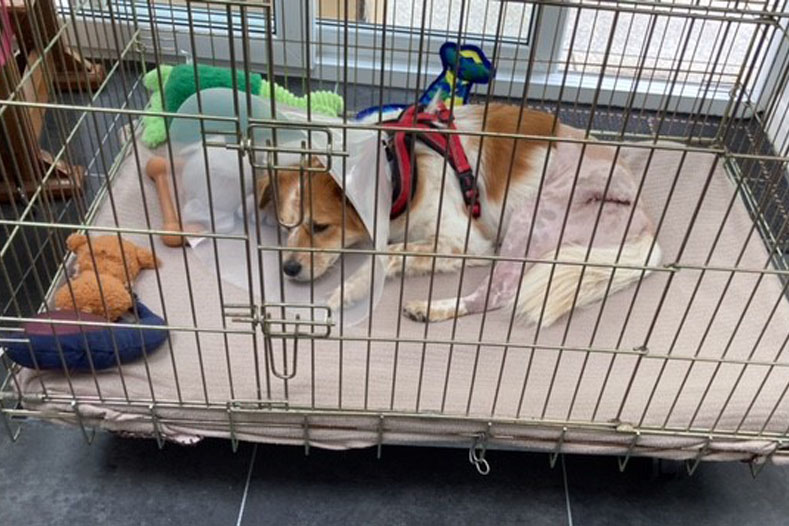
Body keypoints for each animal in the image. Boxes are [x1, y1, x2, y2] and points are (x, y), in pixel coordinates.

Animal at [258, 101, 660, 328]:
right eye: (285, 226)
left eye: (320, 226)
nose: (288, 268)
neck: (397, 163)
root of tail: (644, 217)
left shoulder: (468, 242)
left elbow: (391, 252)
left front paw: (351, 288)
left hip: (535, 215)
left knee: (496, 295)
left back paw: (431, 308)